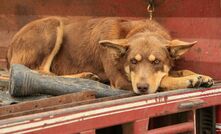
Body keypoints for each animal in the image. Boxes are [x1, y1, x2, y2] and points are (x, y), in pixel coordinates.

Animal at [6, 17, 214, 94]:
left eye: (157, 62)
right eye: (132, 61)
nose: (142, 88)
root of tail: (9, 48)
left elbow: (176, 71)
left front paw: (200, 76)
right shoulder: (121, 81)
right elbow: (164, 80)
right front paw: (188, 80)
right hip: (53, 23)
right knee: (42, 71)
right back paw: (84, 76)